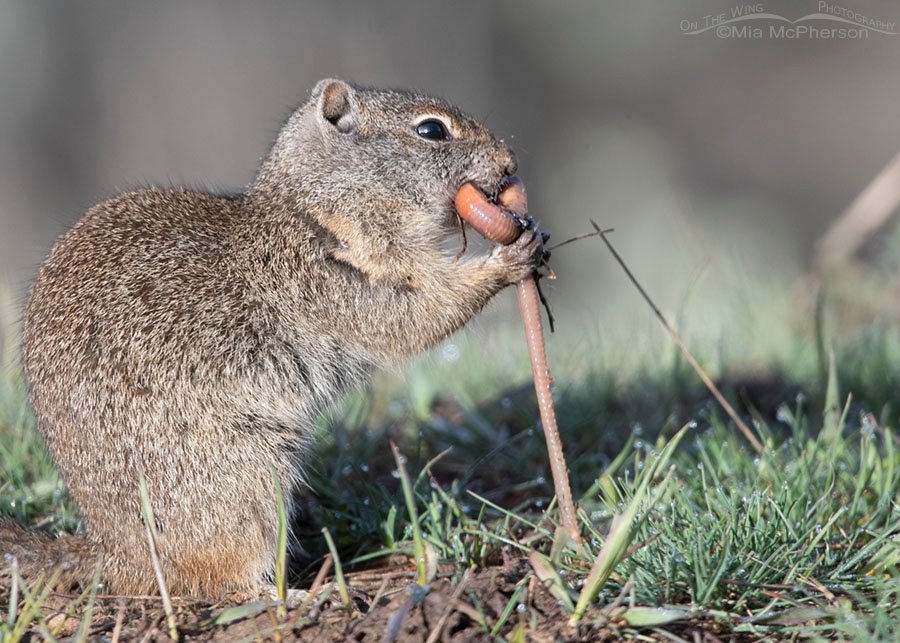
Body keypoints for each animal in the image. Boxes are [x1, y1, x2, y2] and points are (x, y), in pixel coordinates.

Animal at [1, 79, 545, 598]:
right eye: (432, 131)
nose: (510, 163)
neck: (321, 207)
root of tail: (110, 554)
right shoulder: (325, 279)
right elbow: (415, 317)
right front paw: (507, 259)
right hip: (248, 481)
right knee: (215, 580)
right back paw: (293, 595)